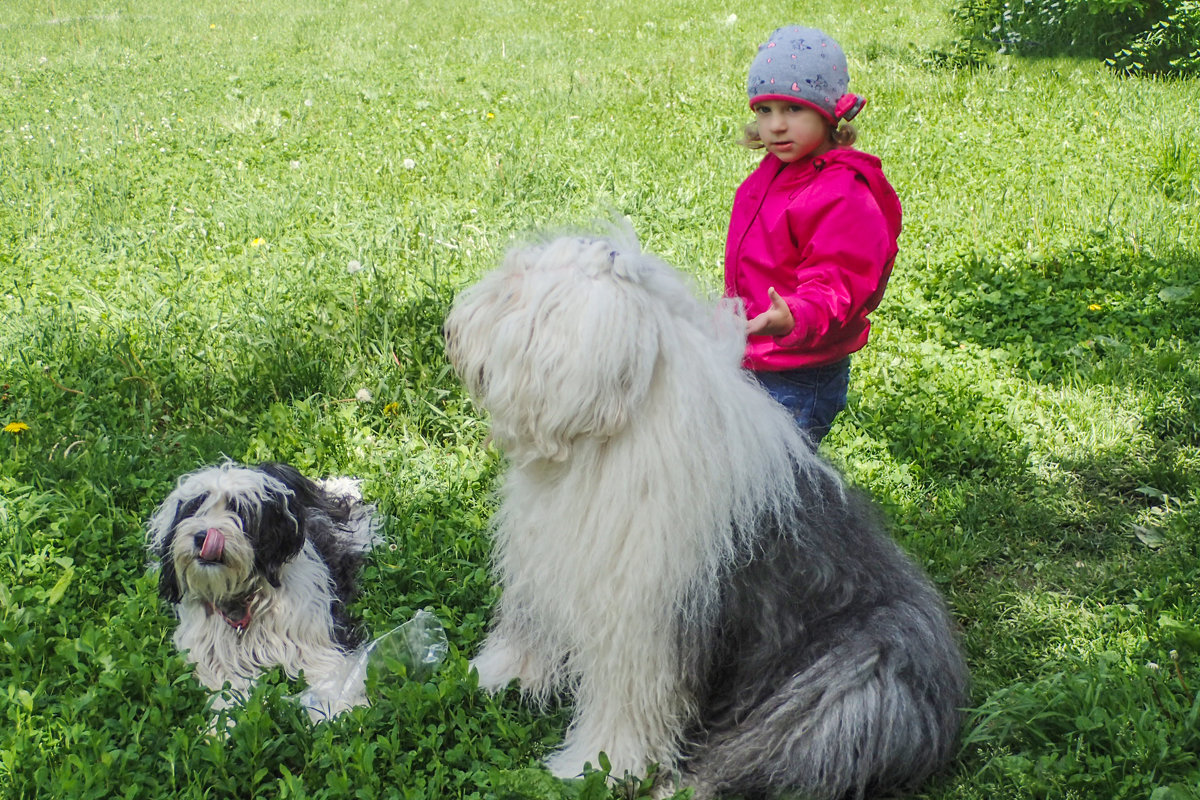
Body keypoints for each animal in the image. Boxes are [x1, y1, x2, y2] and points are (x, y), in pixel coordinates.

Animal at [148, 460, 379, 714]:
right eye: (194, 507)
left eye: (238, 509)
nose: (202, 537)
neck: (244, 599)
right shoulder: (216, 659)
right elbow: (228, 694)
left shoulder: (317, 641)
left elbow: (332, 677)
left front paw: (342, 709)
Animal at [446, 231, 969, 800]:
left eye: (513, 291)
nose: (451, 328)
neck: (609, 437)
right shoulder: (549, 558)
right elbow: (532, 630)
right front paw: (492, 675)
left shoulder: (642, 621)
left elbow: (628, 704)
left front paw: (597, 766)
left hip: (845, 691)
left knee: (763, 758)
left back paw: (680, 786)